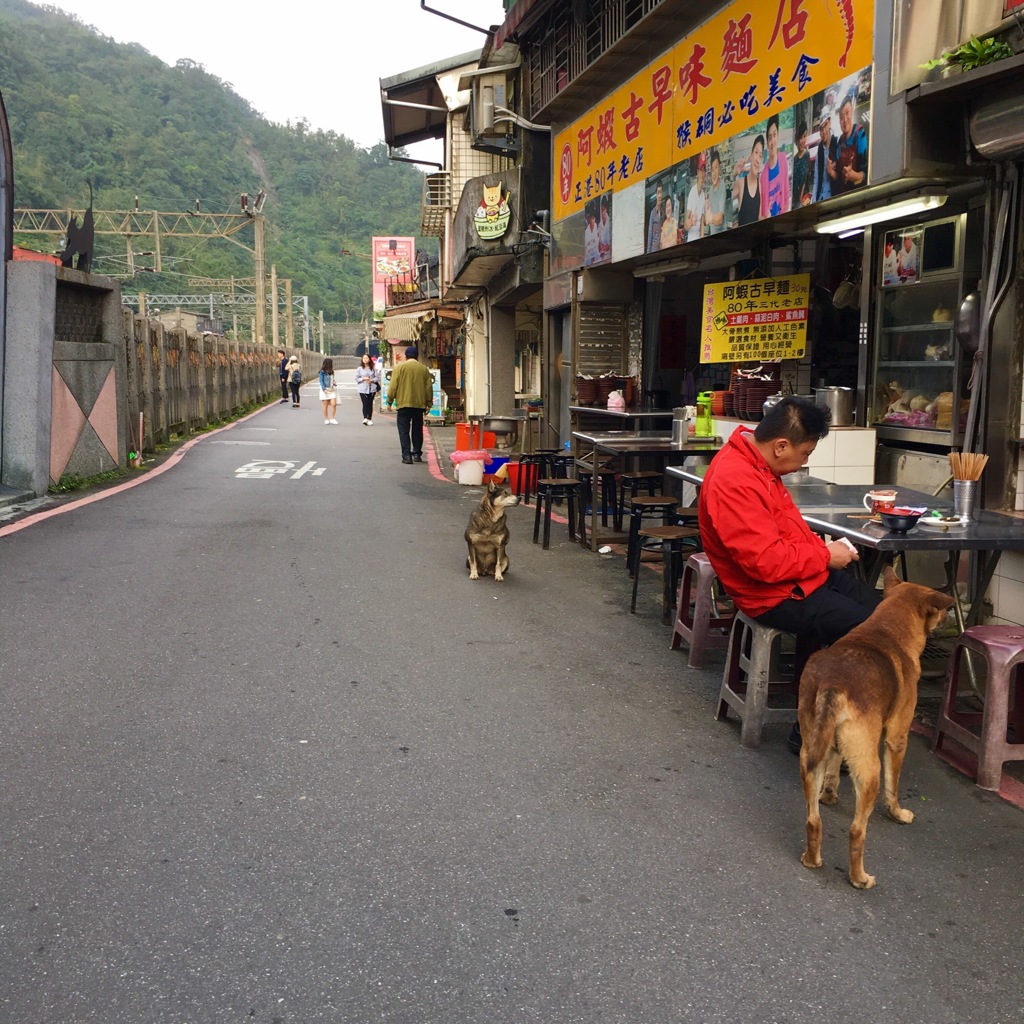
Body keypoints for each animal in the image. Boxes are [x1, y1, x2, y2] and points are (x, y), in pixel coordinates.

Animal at [798, 569, 950, 888]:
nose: (948, 616)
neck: (887, 629)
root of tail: (833, 682)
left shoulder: (835, 747)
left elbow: (833, 771)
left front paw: (829, 796)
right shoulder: (897, 738)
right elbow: (894, 787)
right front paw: (897, 813)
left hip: (810, 754)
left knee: (813, 820)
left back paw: (812, 859)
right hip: (870, 772)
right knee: (857, 830)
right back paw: (859, 878)